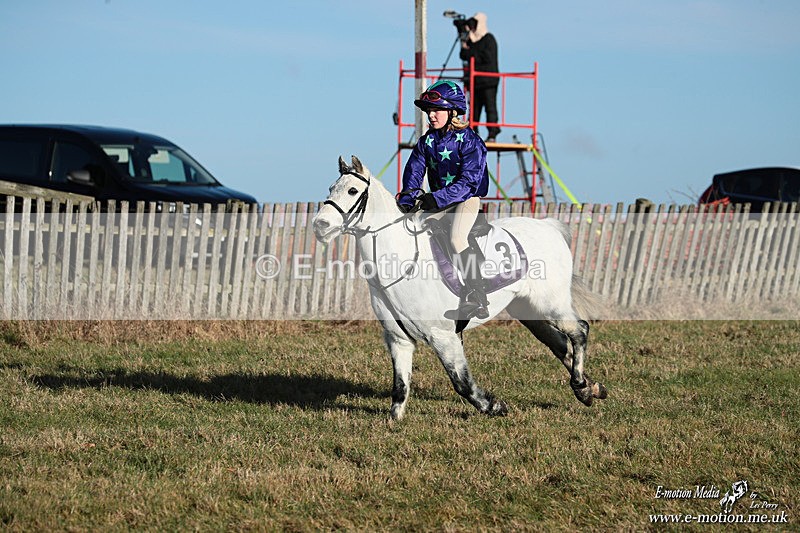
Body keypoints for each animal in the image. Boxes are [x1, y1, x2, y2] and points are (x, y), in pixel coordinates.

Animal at [312, 155, 607, 419]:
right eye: (330, 188)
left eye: (352, 190)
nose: (320, 226)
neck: (402, 261)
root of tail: (548, 226)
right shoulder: (398, 338)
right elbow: (400, 387)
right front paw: (394, 420)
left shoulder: (444, 337)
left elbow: (462, 383)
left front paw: (495, 407)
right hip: (528, 311)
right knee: (560, 345)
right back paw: (590, 390)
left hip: (551, 305)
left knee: (579, 331)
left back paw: (581, 384)